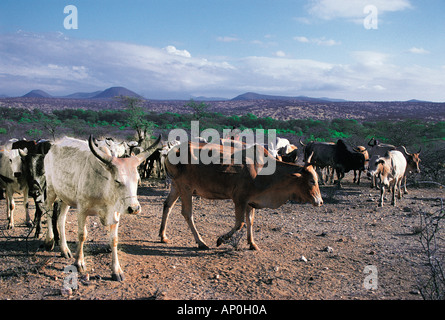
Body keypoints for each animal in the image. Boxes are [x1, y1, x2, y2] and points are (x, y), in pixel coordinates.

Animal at [158, 142, 320, 250]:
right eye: (312, 180)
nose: (319, 201)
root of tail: (171, 152)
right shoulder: (239, 199)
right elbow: (240, 223)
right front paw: (220, 240)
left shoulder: (250, 201)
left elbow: (250, 221)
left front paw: (252, 243)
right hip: (186, 188)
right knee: (187, 213)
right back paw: (201, 242)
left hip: (176, 186)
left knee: (167, 206)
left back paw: (163, 236)